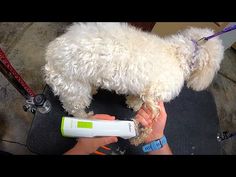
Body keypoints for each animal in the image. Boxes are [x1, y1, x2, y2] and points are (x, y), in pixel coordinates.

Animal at [43, 22, 223, 120]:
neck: (177, 54)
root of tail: (51, 53)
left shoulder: (143, 88)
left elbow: (138, 96)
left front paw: (132, 102)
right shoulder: (155, 92)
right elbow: (145, 101)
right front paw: (136, 106)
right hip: (74, 88)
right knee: (74, 108)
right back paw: (86, 117)